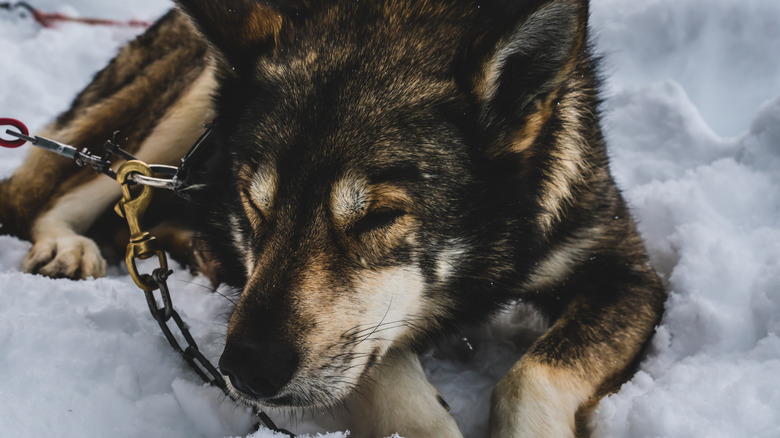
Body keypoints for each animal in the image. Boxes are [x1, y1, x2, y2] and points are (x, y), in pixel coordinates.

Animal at [3, 1, 668, 436]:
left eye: (378, 217)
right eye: (255, 203)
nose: (245, 370)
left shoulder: (625, 273)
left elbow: (528, 378)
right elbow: (384, 372)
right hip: (188, 104)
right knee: (86, 185)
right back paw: (66, 245)